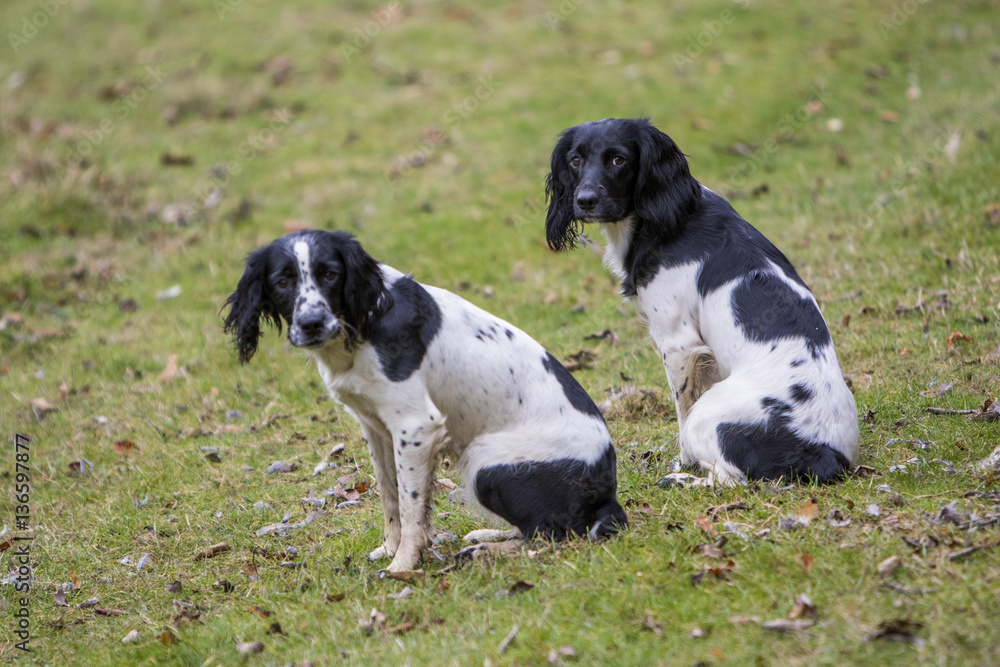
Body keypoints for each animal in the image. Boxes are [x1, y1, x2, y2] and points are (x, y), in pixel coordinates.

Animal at [227, 231, 624, 576]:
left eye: (330, 274)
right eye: (282, 282)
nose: (311, 323)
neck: (362, 322)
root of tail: (607, 491)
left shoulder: (416, 425)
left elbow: (409, 503)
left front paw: (402, 565)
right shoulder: (376, 427)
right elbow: (390, 497)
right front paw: (392, 549)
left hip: (486, 463)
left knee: (553, 531)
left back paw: (484, 551)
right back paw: (489, 535)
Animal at [548, 118, 860, 486]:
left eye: (618, 160)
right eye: (575, 160)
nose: (585, 200)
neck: (669, 218)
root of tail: (826, 453)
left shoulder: (678, 344)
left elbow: (682, 411)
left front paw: (682, 463)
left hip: (709, 414)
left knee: (728, 479)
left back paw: (681, 480)